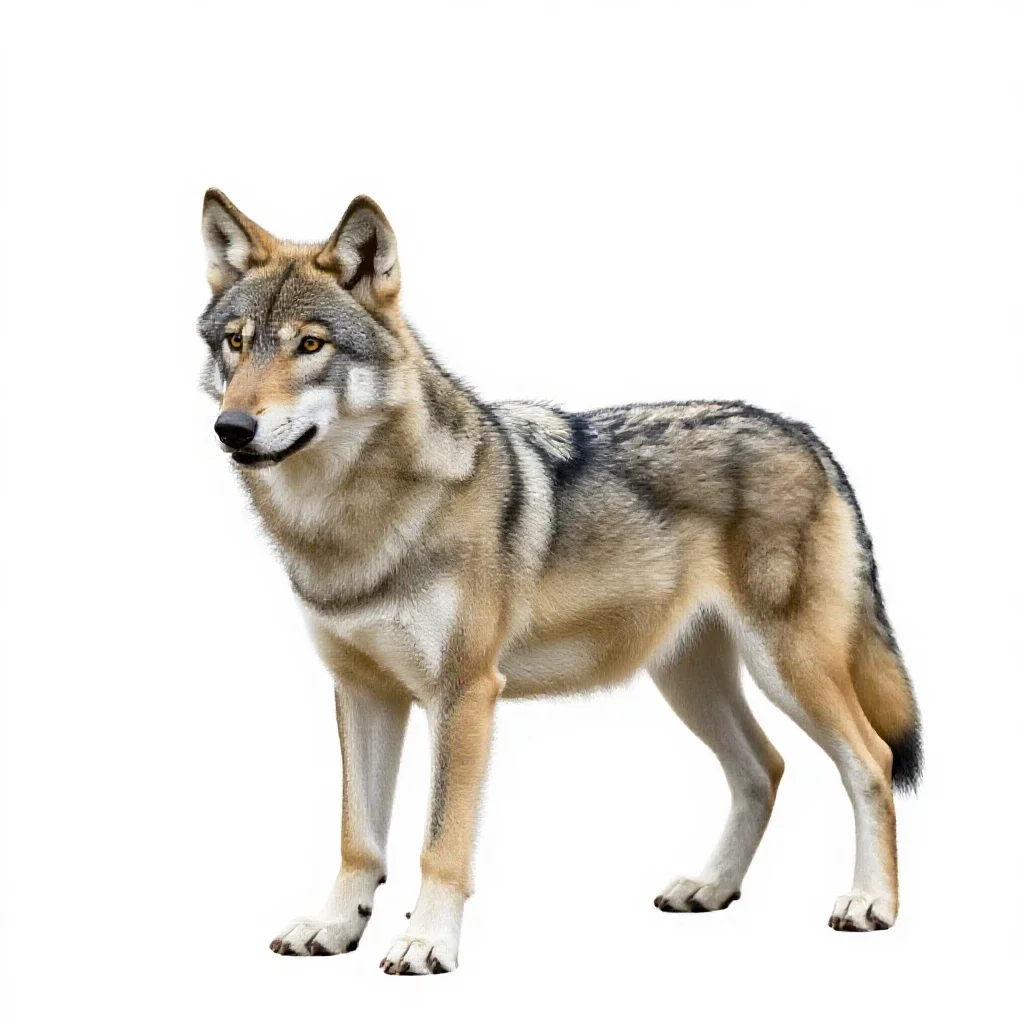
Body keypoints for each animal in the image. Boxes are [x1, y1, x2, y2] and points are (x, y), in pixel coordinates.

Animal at [198, 190, 921, 974]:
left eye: (310, 345)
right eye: (236, 343)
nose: (232, 428)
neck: (352, 525)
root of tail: (805, 435)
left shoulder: (465, 694)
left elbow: (440, 842)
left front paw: (427, 942)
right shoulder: (363, 692)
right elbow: (357, 838)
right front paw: (334, 928)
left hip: (788, 670)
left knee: (872, 761)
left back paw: (871, 904)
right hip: (690, 680)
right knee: (765, 768)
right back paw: (709, 887)